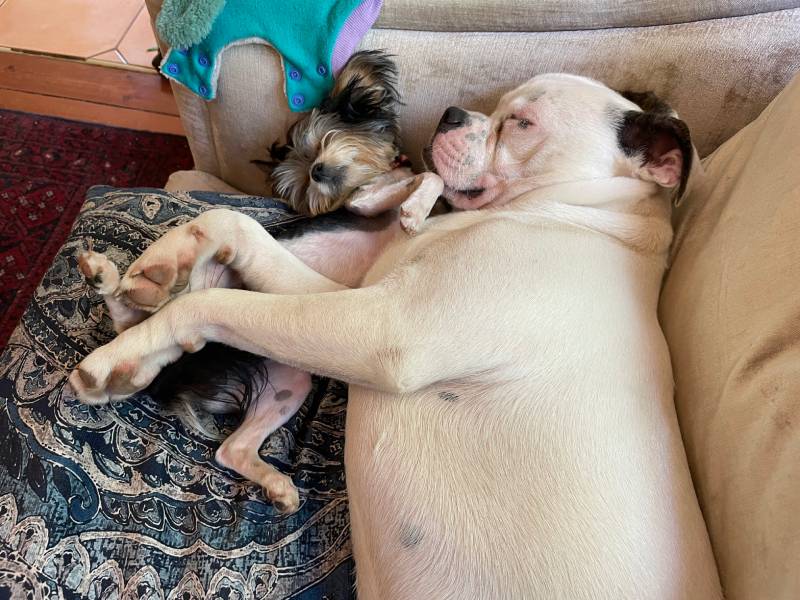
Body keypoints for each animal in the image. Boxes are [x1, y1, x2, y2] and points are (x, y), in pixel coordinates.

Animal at [69, 73, 723, 598]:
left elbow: (224, 239)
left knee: (225, 414)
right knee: (165, 308)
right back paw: (126, 283)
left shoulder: (375, 322)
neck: (583, 214)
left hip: (292, 373)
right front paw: (157, 269)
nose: (454, 113)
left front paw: (124, 354)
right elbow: (223, 226)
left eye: (521, 122)